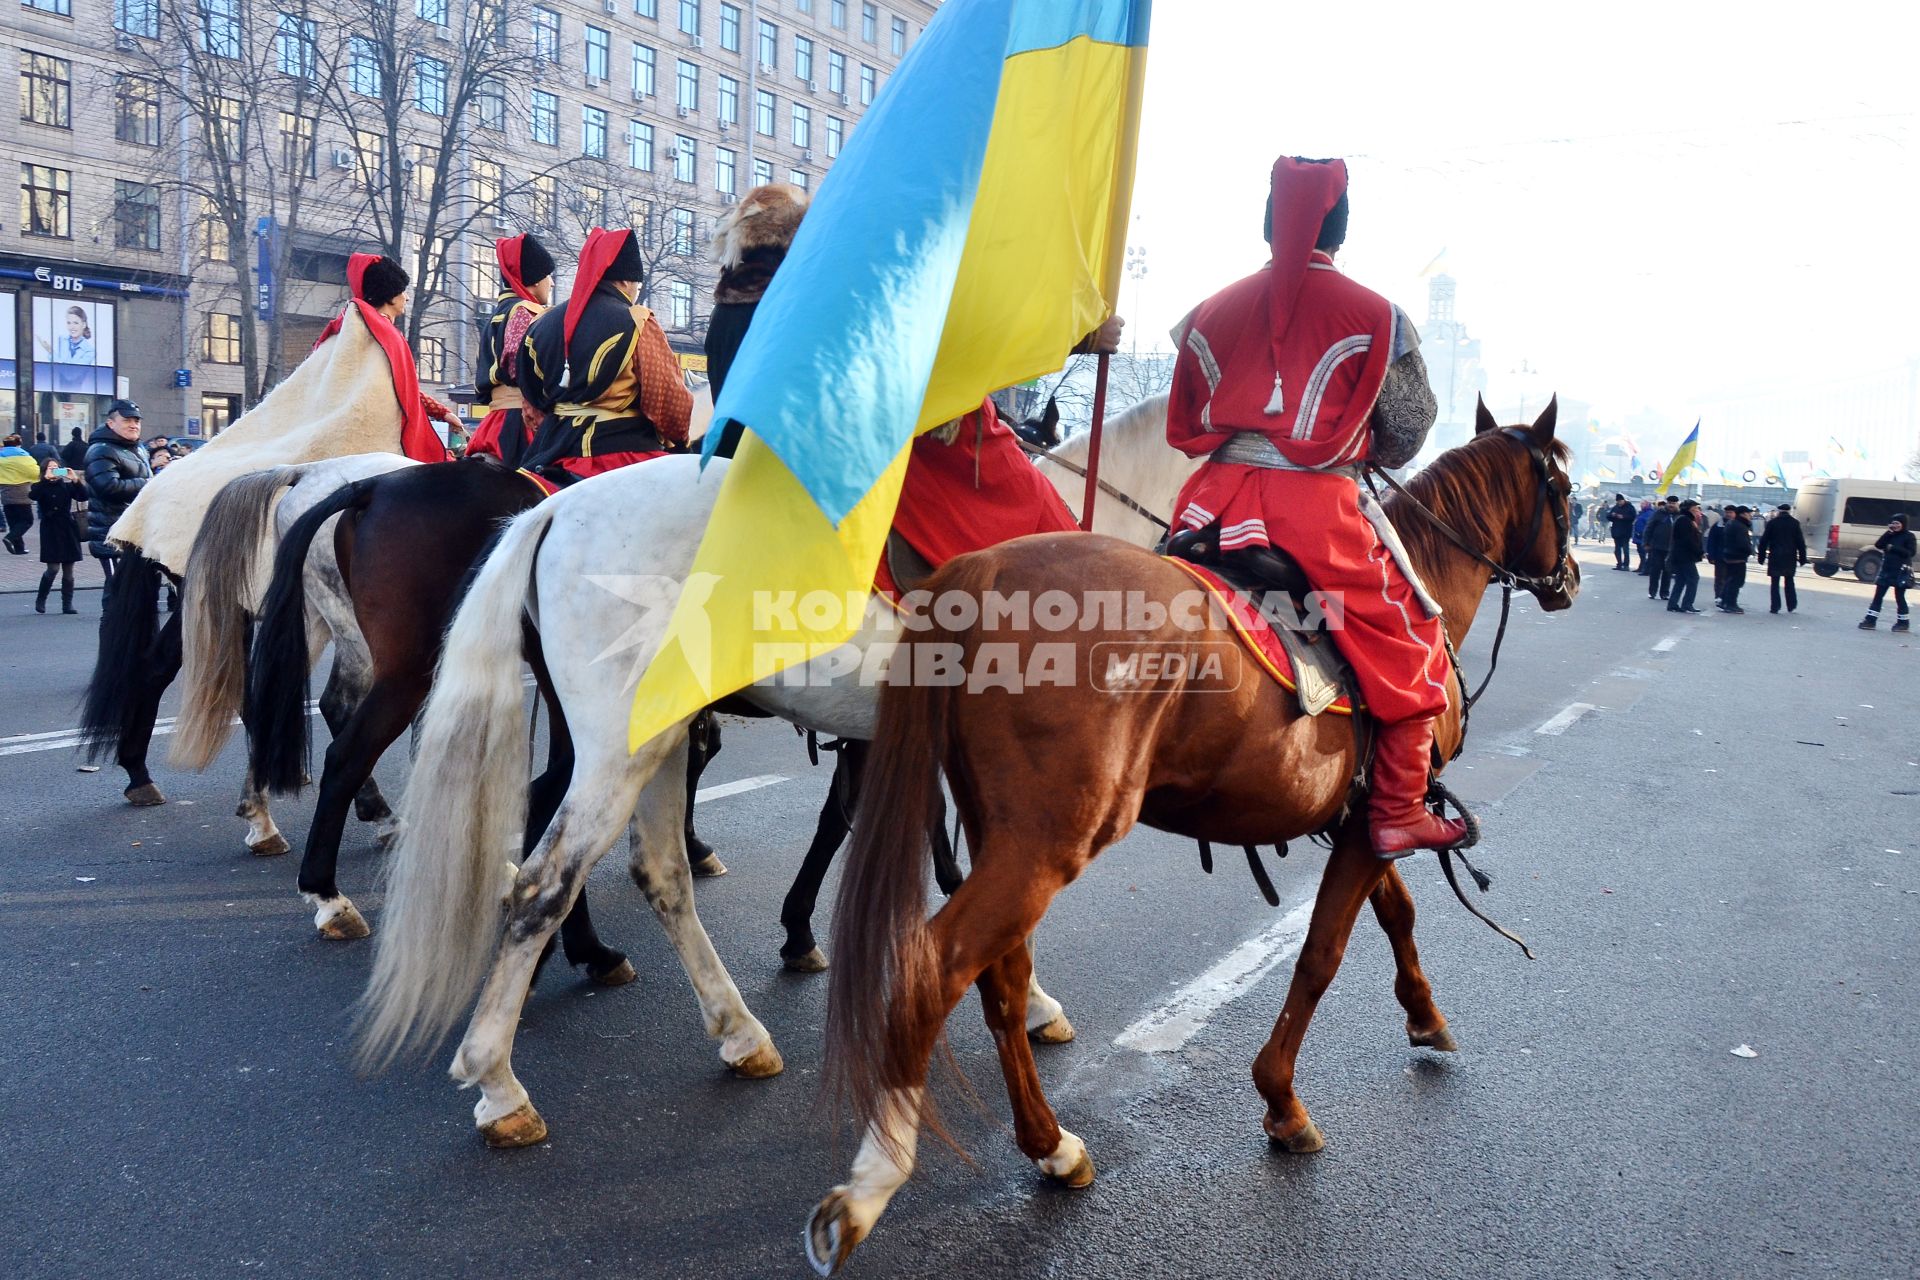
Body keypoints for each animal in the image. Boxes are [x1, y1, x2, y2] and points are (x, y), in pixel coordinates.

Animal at [357, 395, 1182, 1143]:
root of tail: (554, 511)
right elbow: (962, 875)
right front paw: (1032, 1001)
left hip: (658, 739)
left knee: (657, 872)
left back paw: (733, 1028)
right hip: (618, 748)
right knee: (543, 881)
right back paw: (501, 1078)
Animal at [806, 401, 1574, 1274]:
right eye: (1564, 489)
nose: (1572, 579)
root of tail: (982, 571)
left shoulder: (1366, 815)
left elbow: (1395, 914)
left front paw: (1424, 1014)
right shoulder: (1372, 821)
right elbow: (1321, 955)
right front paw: (1281, 1100)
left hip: (1003, 837)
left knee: (999, 979)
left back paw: (1051, 1145)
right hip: (1044, 846)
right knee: (934, 967)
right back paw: (872, 1182)